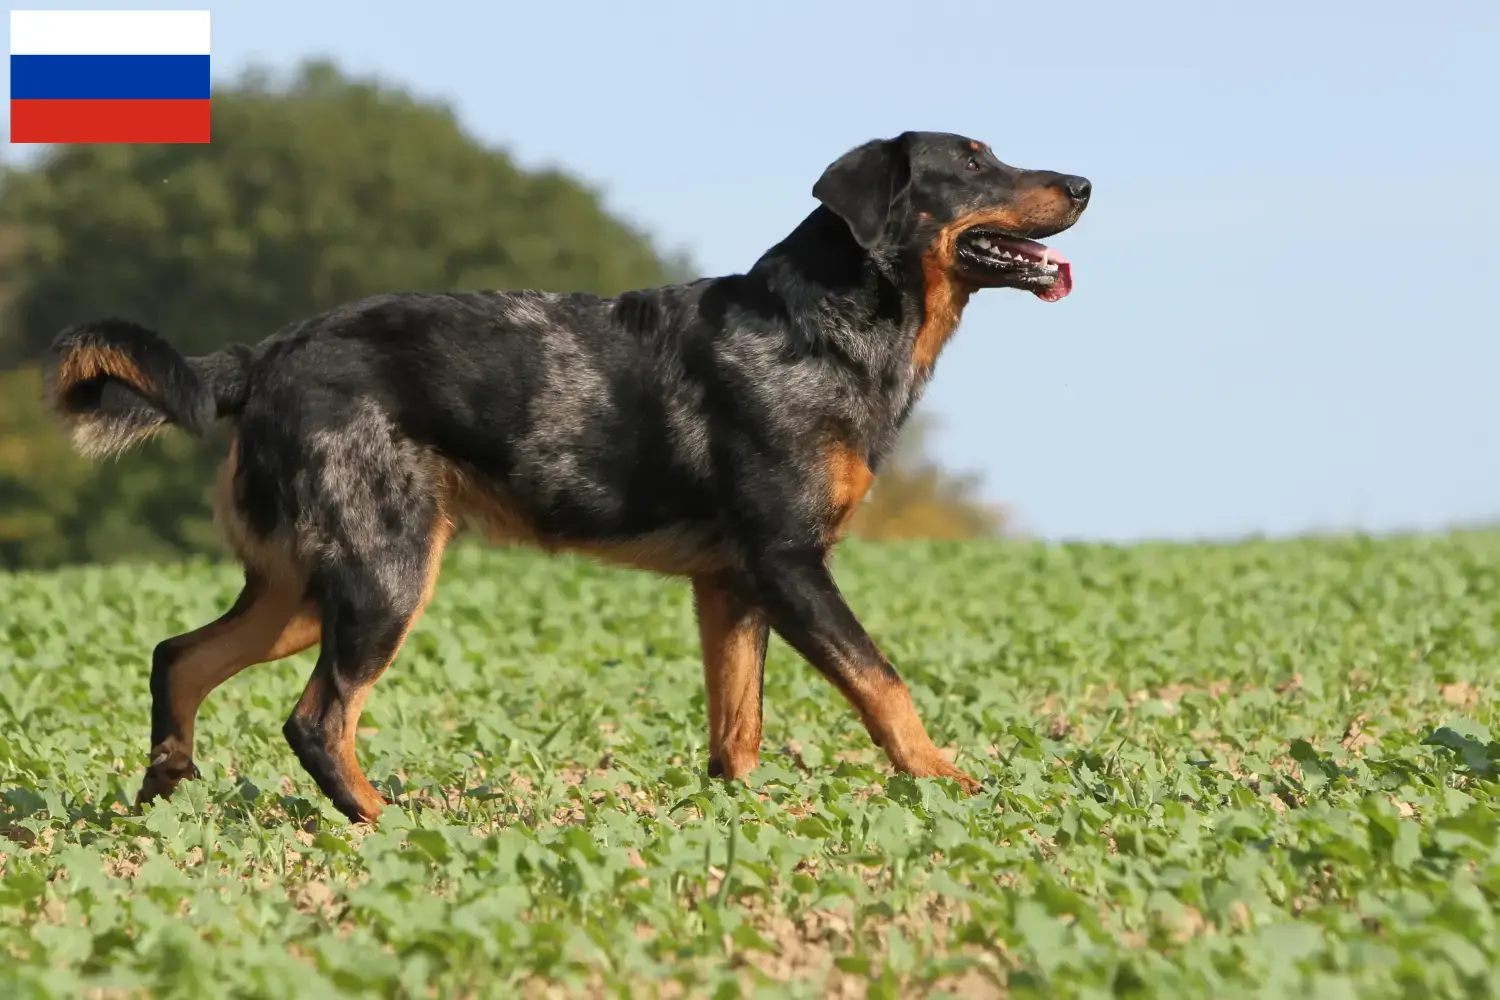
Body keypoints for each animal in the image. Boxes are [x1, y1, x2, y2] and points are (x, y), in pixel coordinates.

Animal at [41, 128, 1086, 827]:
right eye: (975, 164)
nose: (1082, 179)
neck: (828, 326)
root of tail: (263, 355)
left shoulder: (733, 584)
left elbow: (737, 726)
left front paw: (739, 824)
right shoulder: (791, 565)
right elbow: (884, 685)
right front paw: (951, 785)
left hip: (301, 587)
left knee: (180, 657)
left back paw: (161, 794)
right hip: (384, 574)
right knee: (315, 720)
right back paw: (393, 829)